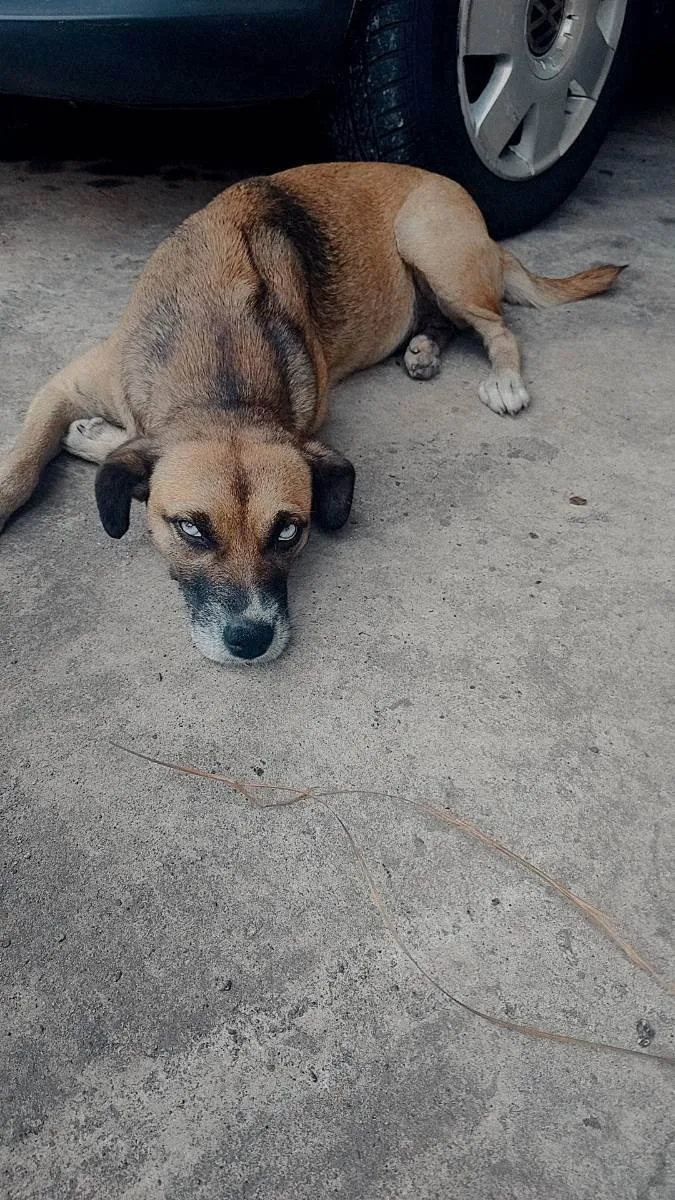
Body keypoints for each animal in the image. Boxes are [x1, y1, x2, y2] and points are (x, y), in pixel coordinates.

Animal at [0, 163, 619, 662]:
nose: (250, 642)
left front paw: (94, 440)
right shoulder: (64, 384)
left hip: (433, 247)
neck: (221, 371)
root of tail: (482, 226)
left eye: (287, 532)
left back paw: (505, 380)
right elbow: (24, 463)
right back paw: (422, 349)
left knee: (498, 328)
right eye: (192, 530)